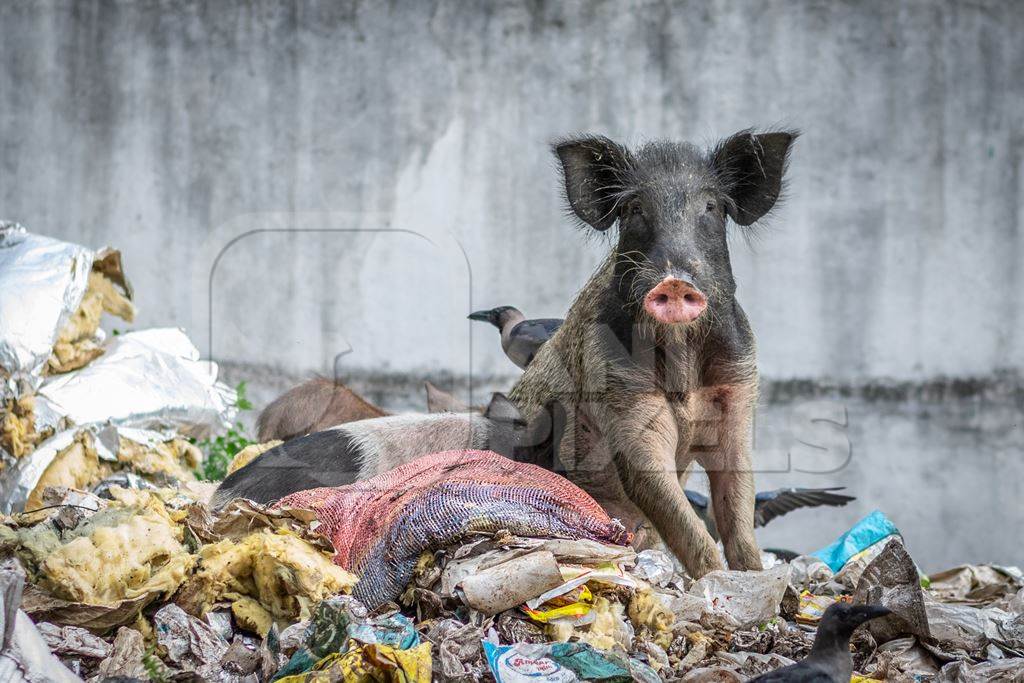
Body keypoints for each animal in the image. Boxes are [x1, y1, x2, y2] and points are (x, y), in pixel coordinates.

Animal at [512, 129, 798, 577]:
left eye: (711, 207)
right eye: (635, 208)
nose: (674, 281)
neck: (684, 359)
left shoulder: (738, 386)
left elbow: (737, 496)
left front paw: (753, 576)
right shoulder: (618, 387)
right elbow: (656, 486)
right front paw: (714, 578)